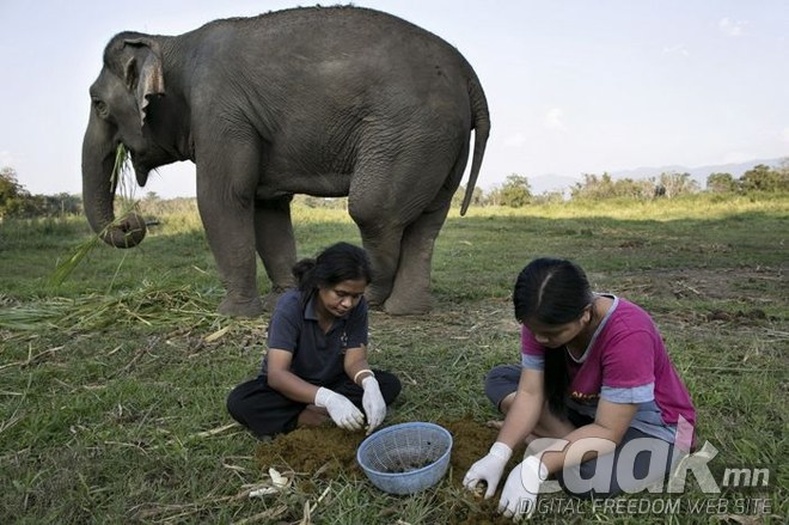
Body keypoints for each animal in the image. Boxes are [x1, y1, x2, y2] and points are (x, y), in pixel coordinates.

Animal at [80, 5, 486, 316]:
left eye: (99, 105)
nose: (132, 221)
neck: (171, 42)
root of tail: (467, 73)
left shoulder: (219, 114)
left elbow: (222, 199)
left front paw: (232, 315)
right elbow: (266, 207)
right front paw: (285, 298)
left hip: (410, 132)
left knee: (372, 211)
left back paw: (370, 299)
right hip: (442, 142)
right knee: (427, 221)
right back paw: (407, 310)